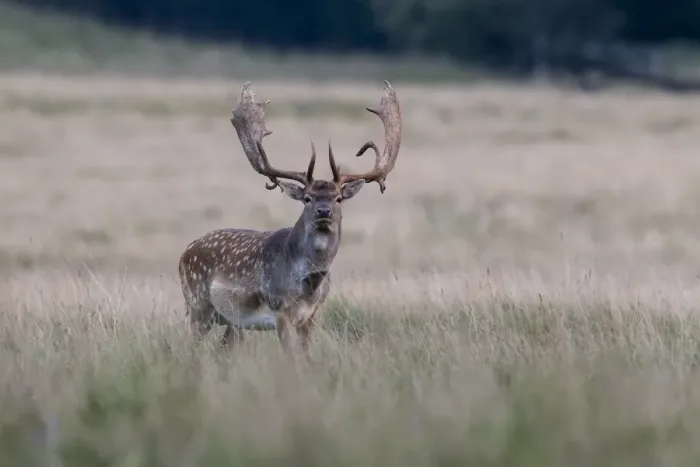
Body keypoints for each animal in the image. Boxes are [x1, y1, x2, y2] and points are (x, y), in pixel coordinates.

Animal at [177, 80, 402, 358]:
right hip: (198, 303)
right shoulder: (280, 310)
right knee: (185, 345)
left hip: (231, 321)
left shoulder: (312, 316)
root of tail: (185, 252)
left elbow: (305, 356)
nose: (323, 211)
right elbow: (291, 357)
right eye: (307, 198)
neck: (308, 286)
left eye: (339, 198)